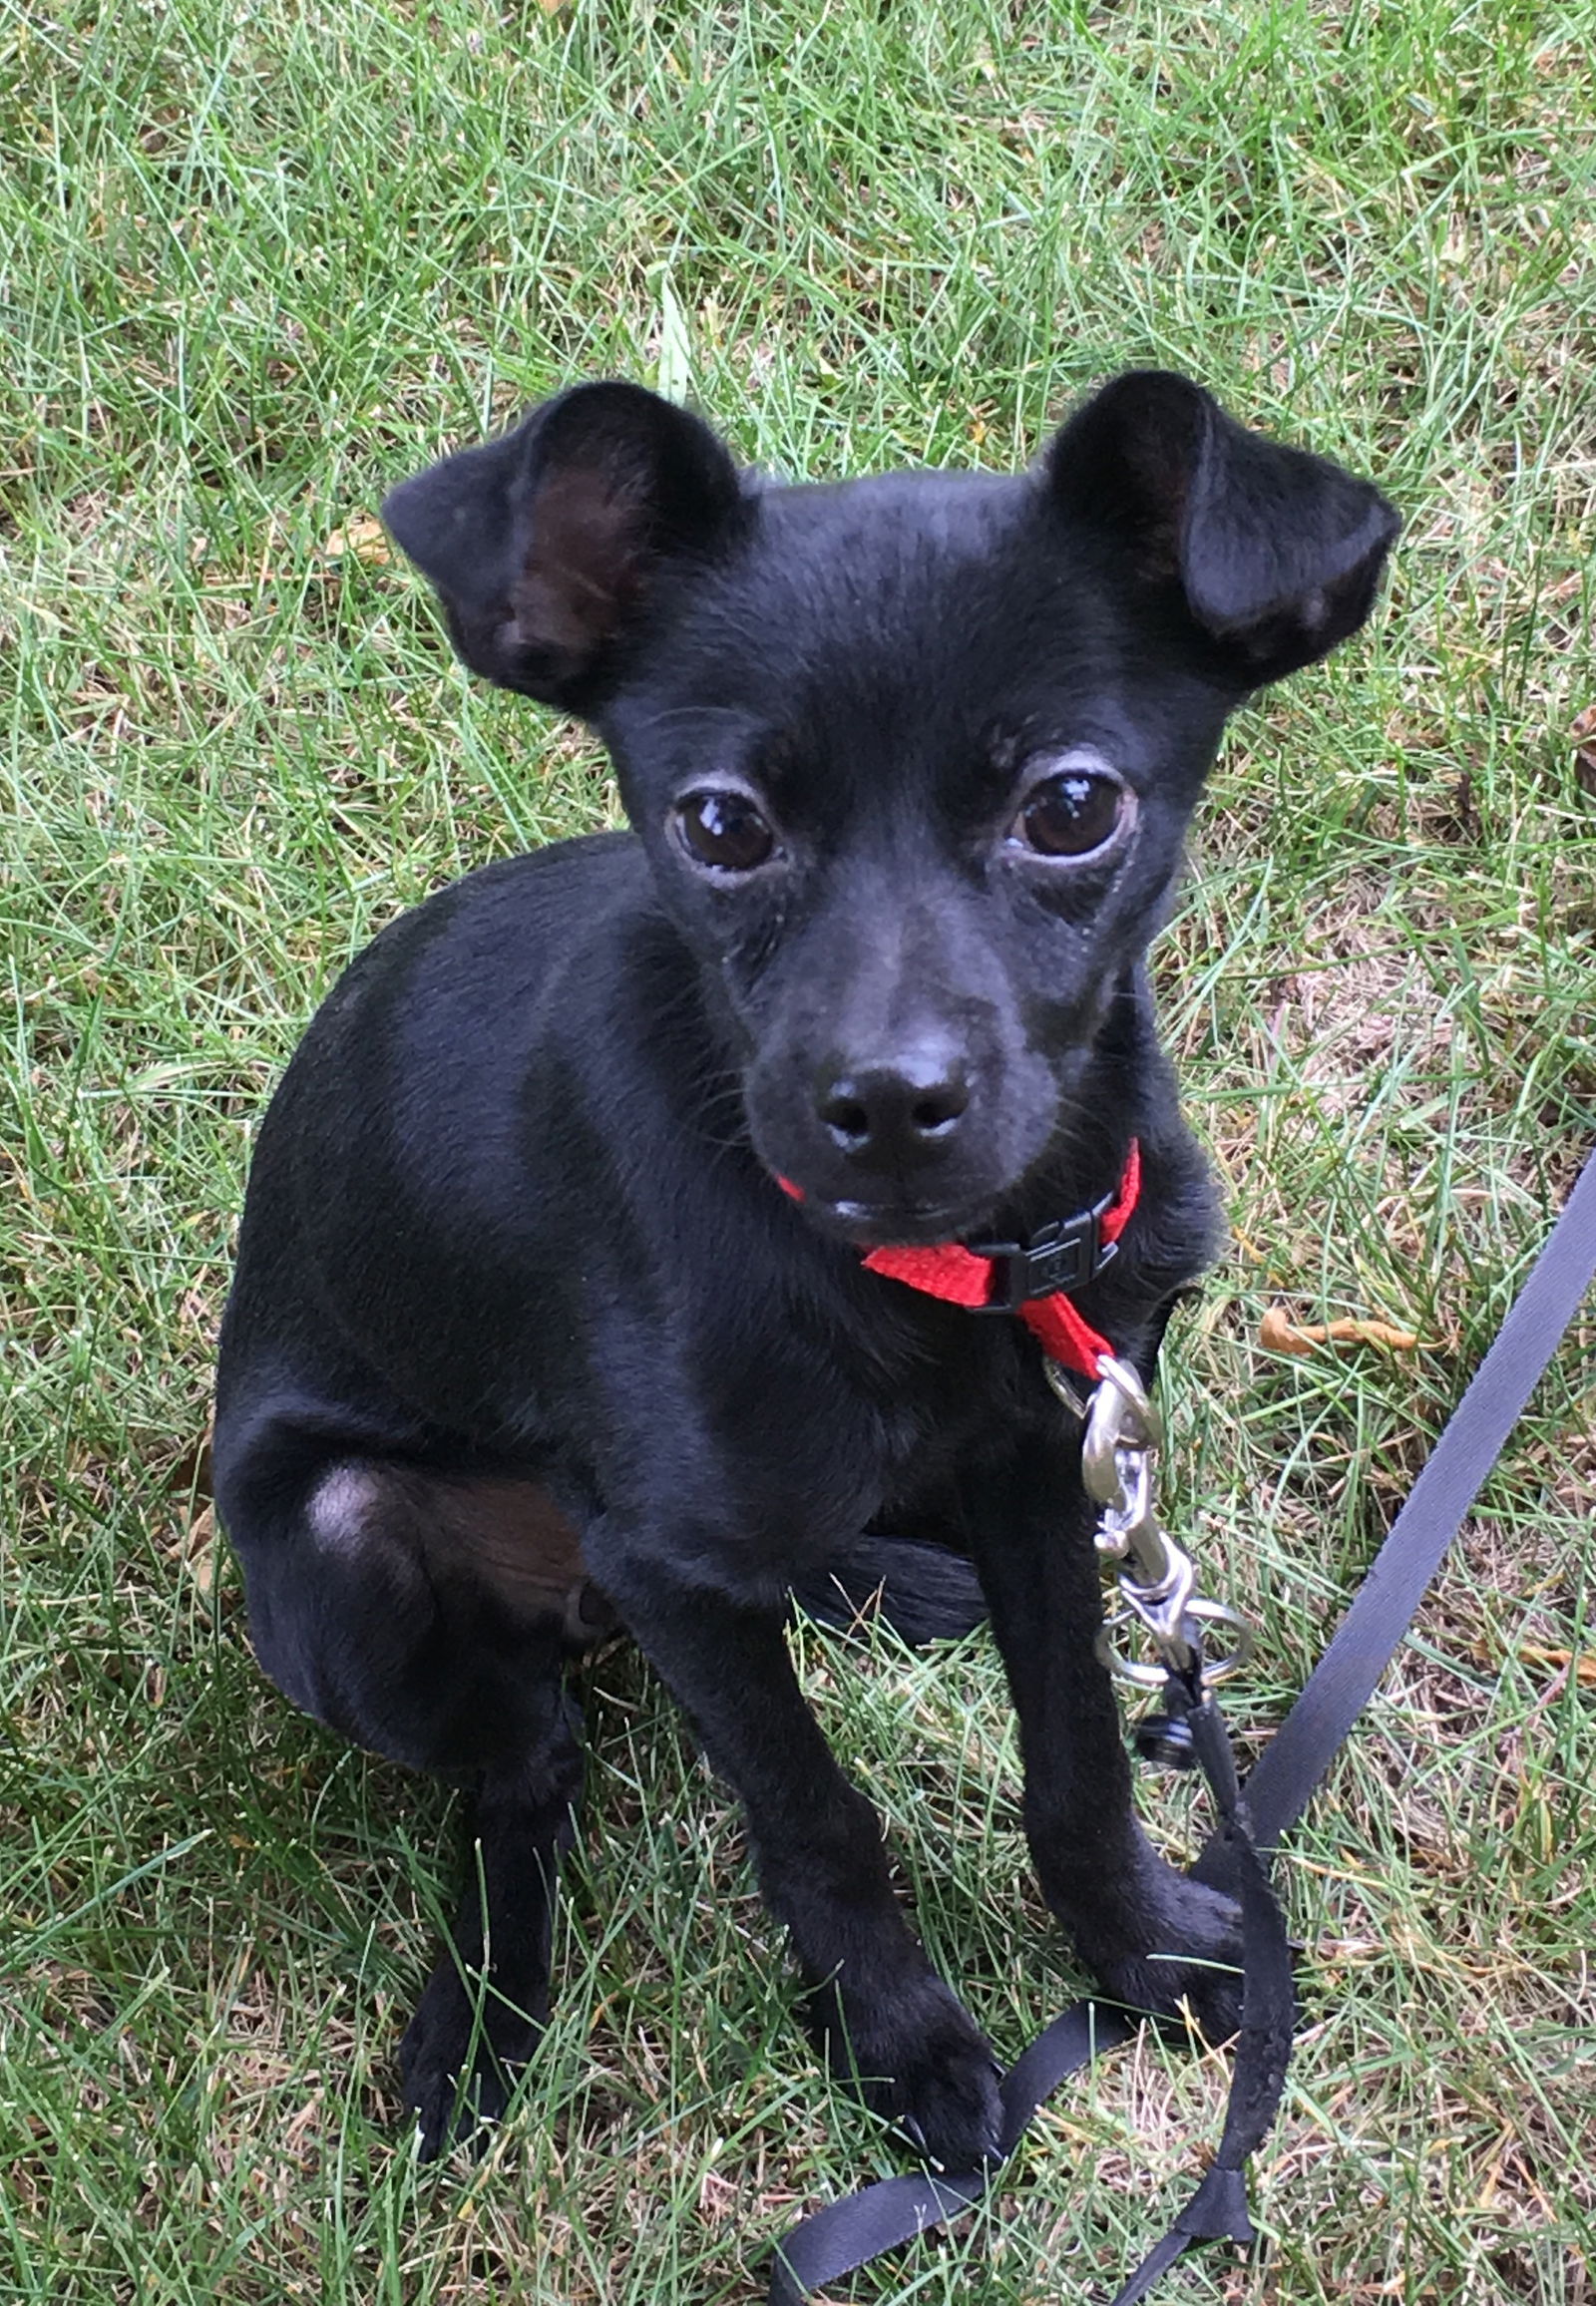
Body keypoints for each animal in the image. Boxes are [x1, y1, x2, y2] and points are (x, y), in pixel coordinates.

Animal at [211, 368, 1393, 2167]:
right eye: (721, 824)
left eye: (1072, 807)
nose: (888, 1103)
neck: (938, 1272)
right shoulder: (671, 1563)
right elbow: (814, 1815)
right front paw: (900, 2042)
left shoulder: (1051, 1472)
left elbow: (1080, 1754)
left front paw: (1134, 1948)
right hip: (347, 1563)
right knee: (525, 1773)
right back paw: (483, 2012)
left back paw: (897, 1583)